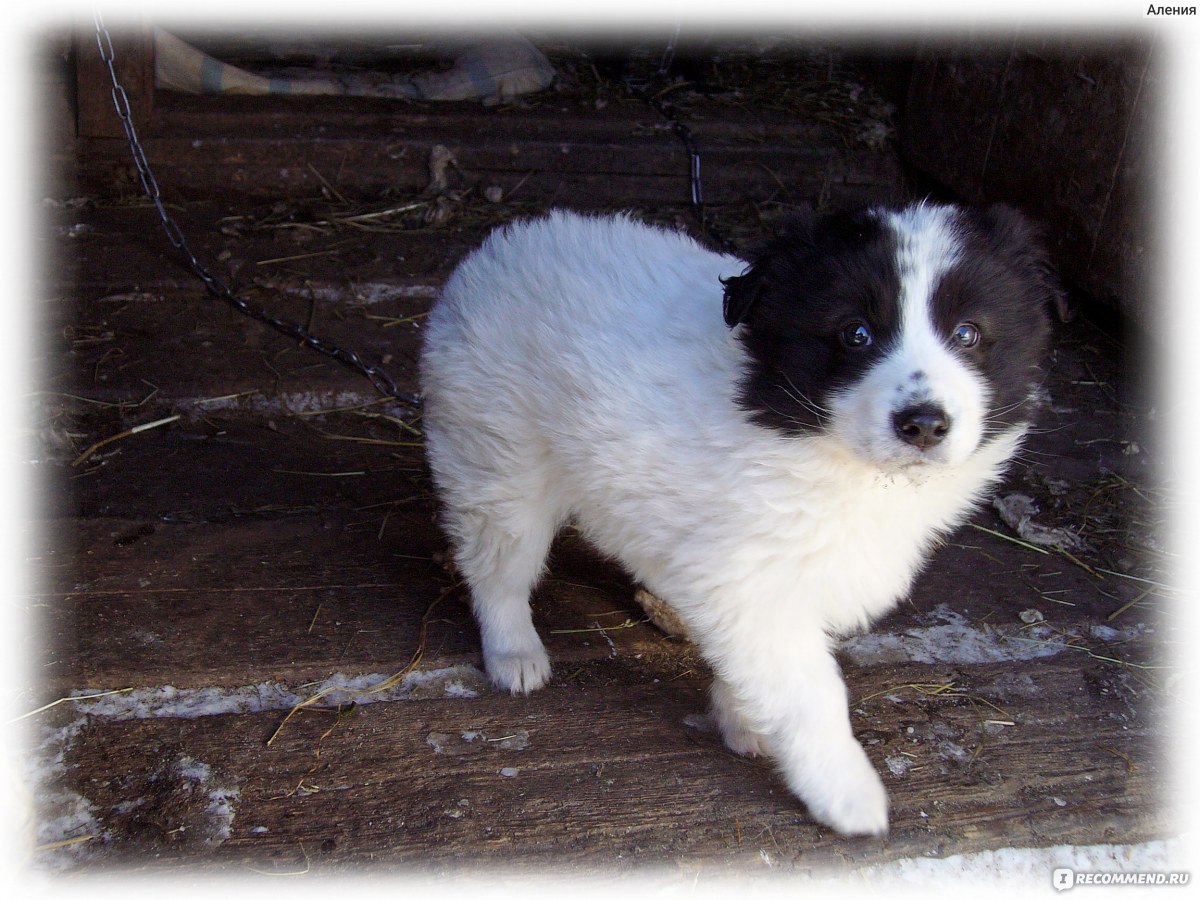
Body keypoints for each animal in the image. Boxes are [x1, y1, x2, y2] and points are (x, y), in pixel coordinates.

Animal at [417, 204, 1056, 840]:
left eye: (968, 334)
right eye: (856, 334)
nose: (922, 423)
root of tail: (499, 249)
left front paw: (744, 720)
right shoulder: (753, 584)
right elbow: (811, 694)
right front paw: (848, 796)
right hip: (499, 458)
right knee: (497, 566)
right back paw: (514, 653)